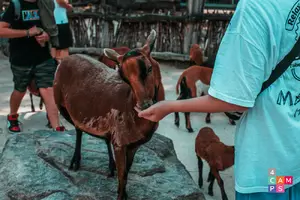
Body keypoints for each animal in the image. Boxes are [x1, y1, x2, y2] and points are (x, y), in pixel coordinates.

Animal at [52, 28, 164, 199]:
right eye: (124, 77)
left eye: (149, 68)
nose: (144, 105)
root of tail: (67, 58)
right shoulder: (120, 142)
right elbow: (122, 176)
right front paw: (120, 195)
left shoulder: (133, 145)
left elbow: (126, 174)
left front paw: (124, 192)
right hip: (61, 104)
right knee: (78, 129)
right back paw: (75, 162)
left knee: (98, 135)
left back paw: (110, 166)